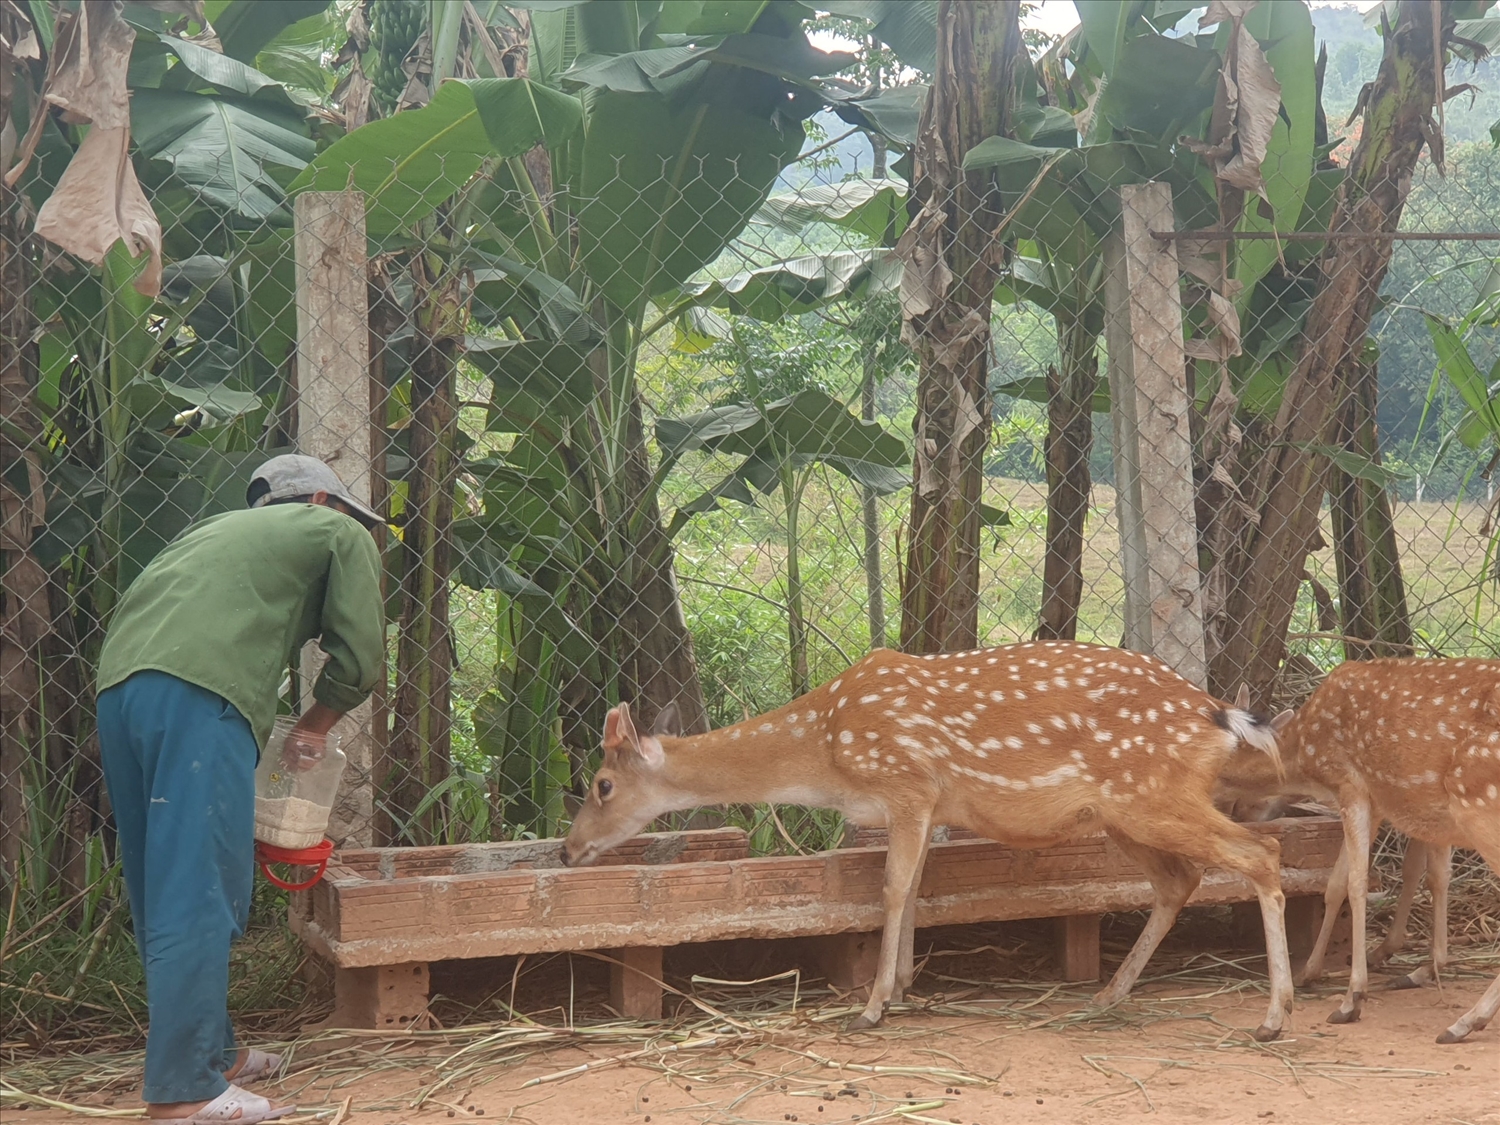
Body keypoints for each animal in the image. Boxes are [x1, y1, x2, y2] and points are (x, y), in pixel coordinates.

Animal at [567, 642, 1296, 1038]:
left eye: (601, 784)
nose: (569, 850)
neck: (826, 749)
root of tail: (1219, 714)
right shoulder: (920, 804)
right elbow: (916, 887)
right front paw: (901, 987)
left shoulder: (907, 783)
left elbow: (891, 888)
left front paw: (871, 1007)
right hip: (1123, 810)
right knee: (1181, 878)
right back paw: (1106, 995)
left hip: (1148, 794)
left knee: (1262, 853)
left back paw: (1273, 1017)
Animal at [1218, 657, 1500, 1044]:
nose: (1233, 814)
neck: (1305, 756)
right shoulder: (1374, 799)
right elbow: (1336, 884)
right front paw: (1310, 972)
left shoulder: (1350, 784)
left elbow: (1356, 885)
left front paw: (1352, 998)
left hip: (1479, 806)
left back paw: (1464, 1022)